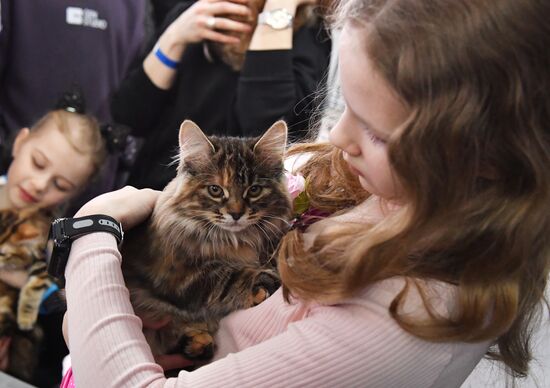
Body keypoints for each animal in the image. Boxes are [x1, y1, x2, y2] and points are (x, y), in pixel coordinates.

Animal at [121, 119, 294, 360]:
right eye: (215, 190)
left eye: (254, 190)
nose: (236, 214)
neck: (236, 239)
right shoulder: (178, 277)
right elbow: (228, 275)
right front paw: (263, 283)